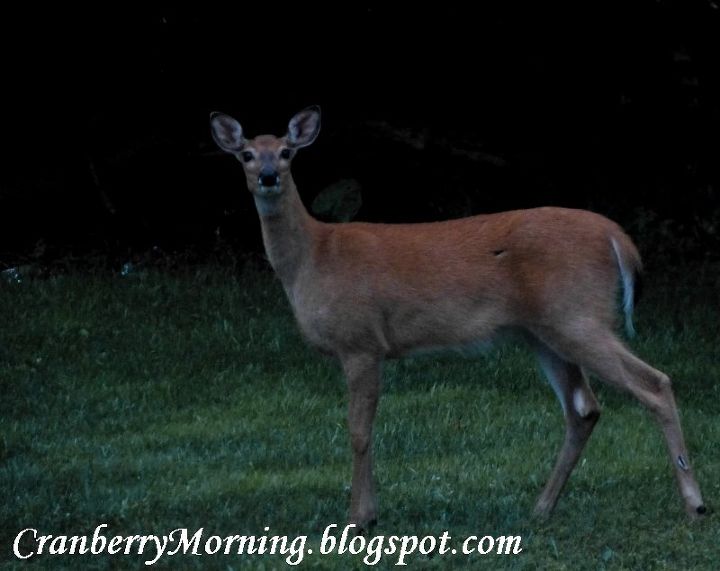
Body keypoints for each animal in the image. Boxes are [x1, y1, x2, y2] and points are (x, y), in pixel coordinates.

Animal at [208, 106, 704, 528]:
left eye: (287, 152)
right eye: (247, 154)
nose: (268, 176)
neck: (313, 257)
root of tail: (618, 237)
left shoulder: (361, 341)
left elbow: (359, 431)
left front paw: (359, 518)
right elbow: (366, 429)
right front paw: (369, 513)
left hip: (577, 314)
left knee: (654, 383)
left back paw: (695, 503)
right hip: (543, 331)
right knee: (584, 408)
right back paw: (541, 508)